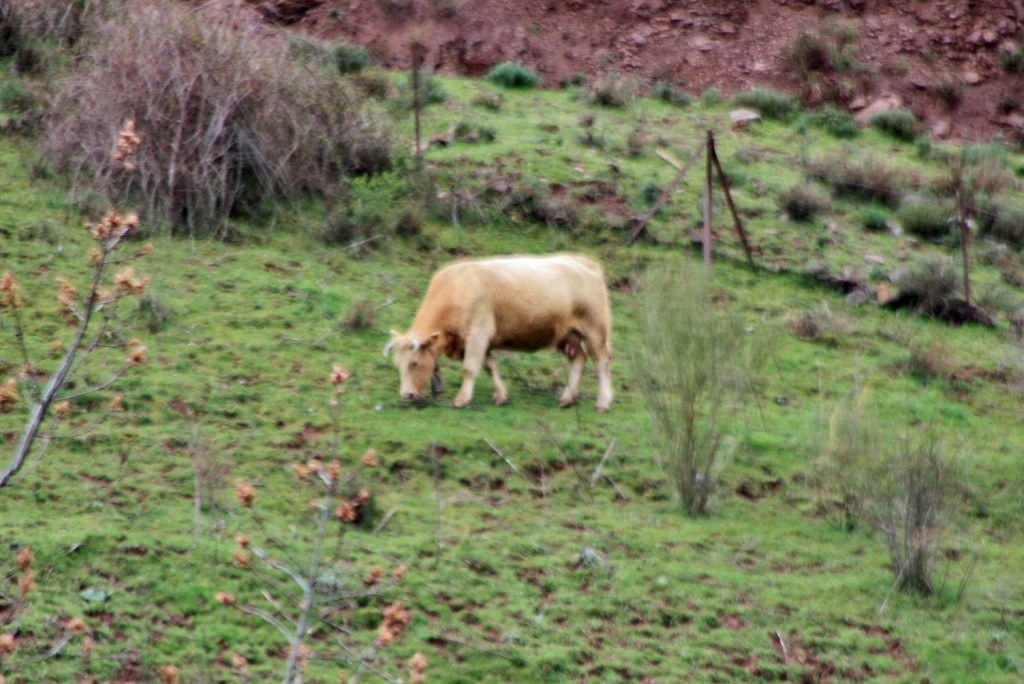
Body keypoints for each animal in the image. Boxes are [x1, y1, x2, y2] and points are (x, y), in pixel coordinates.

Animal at [382, 252, 606, 409]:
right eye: (398, 364)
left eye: (414, 362)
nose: (407, 395)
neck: (458, 288)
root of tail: (584, 261)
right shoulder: (479, 342)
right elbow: (489, 366)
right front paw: (501, 396)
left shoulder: (478, 335)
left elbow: (470, 367)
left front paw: (462, 399)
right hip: (566, 336)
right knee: (579, 359)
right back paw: (567, 398)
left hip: (595, 330)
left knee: (602, 361)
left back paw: (603, 402)